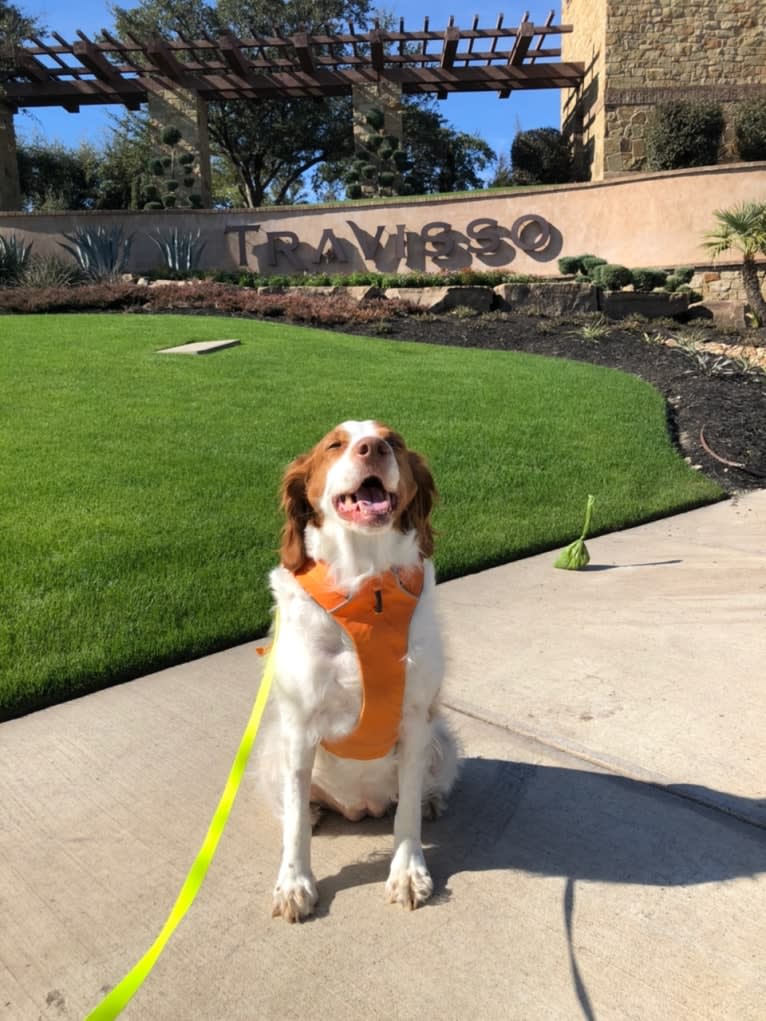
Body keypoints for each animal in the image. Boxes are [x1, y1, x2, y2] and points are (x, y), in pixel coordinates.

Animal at [261, 418, 459, 922]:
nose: (372, 448)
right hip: (271, 746)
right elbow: (294, 823)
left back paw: (431, 799)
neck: (367, 591)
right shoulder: (298, 726)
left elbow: (406, 814)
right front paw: (295, 882)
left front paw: (408, 872)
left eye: (395, 442)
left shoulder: (415, 719)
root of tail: (361, 807)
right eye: (335, 445)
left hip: (442, 736)